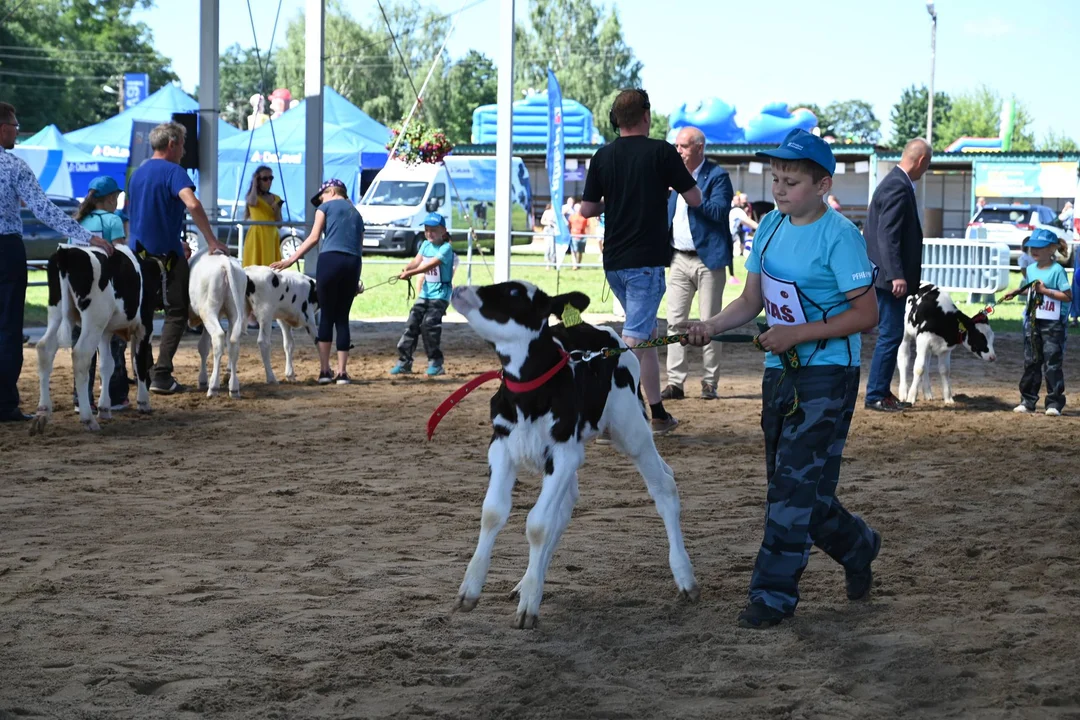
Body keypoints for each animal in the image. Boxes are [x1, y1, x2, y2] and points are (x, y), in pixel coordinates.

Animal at [31, 245, 165, 433]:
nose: (161, 304)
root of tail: (66, 251)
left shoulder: (105, 332)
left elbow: (107, 365)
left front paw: (104, 408)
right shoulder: (145, 327)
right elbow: (139, 363)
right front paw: (143, 402)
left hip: (59, 312)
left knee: (45, 348)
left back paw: (42, 412)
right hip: (94, 319)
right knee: (80, 356)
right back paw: (88, 419)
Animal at [447, 278, 699, 626]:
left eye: (514, 293)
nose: (459, 288)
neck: (529, 394)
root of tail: (605, 333)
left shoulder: (564, 454)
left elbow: (537, 524)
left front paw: (528, 606)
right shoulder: (501, 446)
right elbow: (493, 512)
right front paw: (470, 589)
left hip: (631, 429)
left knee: (664, 486)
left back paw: (685, 576)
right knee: (565, 508)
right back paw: (527, 582)